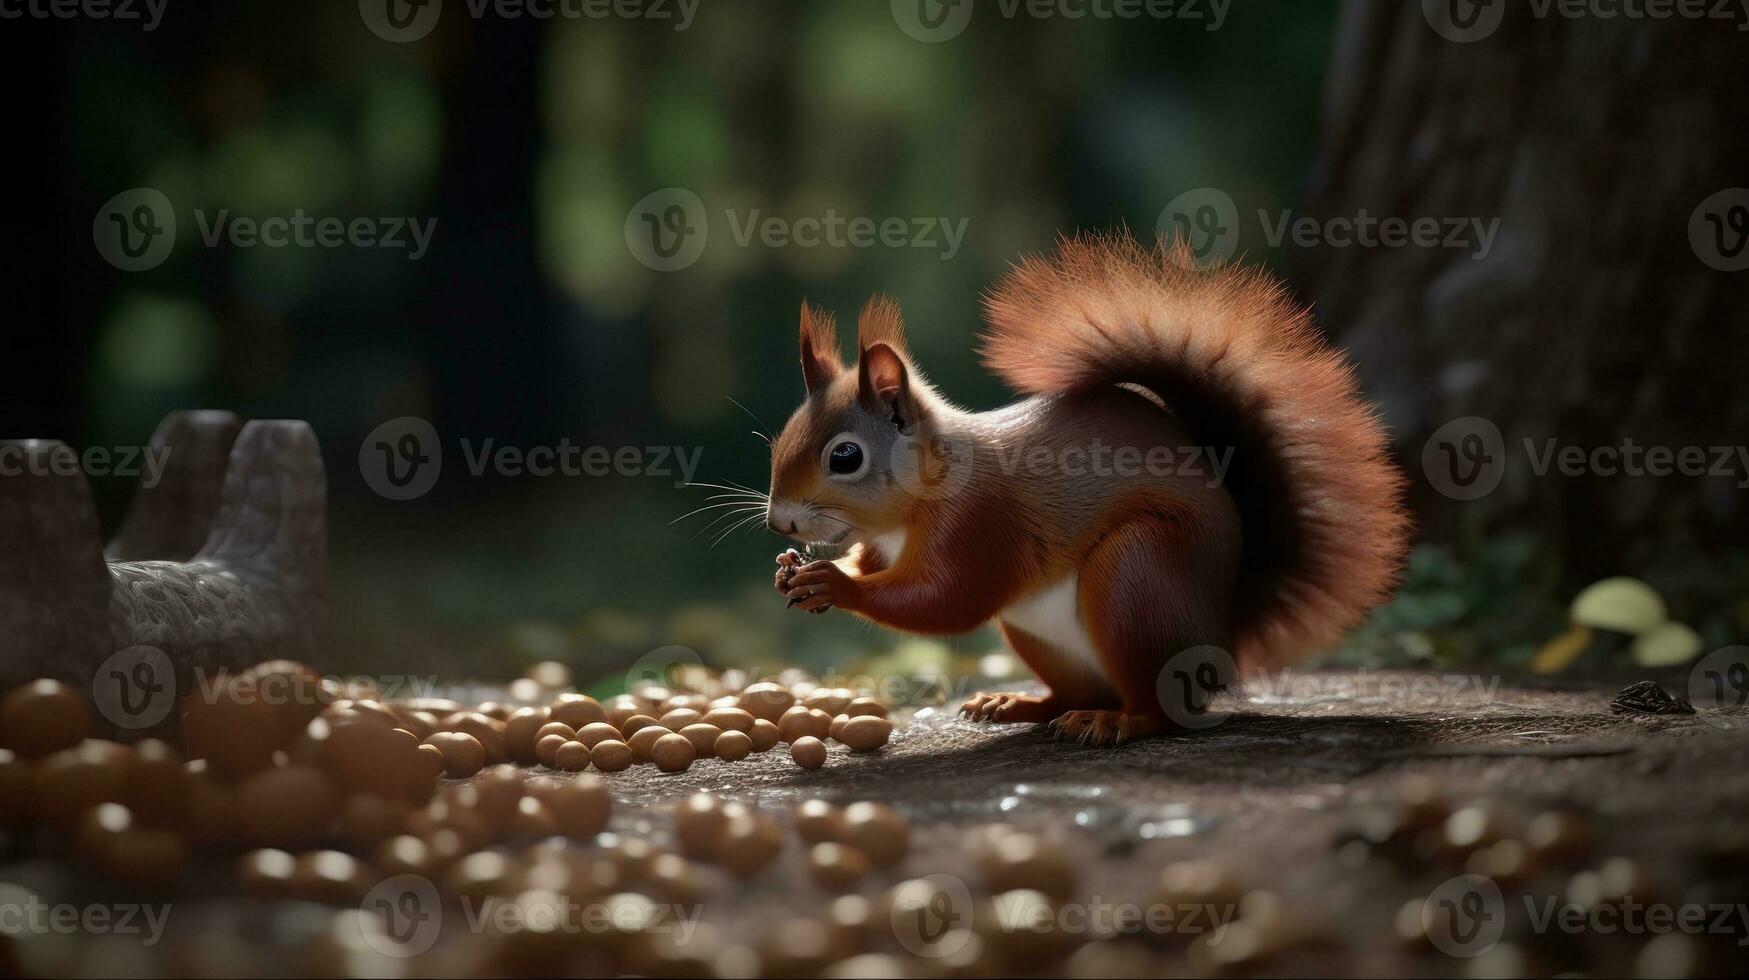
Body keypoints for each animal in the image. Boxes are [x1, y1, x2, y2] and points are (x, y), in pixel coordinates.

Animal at [766, 236, 1406, 742]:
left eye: (845, 457)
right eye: (777, 440)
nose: (778, 522)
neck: (914, 504)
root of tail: (1221, 634)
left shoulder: (979, 521)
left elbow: (951, 598)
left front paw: (836, 584)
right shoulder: (883, 544)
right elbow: (874, 563)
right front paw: (795, 570)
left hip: (1138, 572)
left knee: (1160, 706)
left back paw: (1120, 722)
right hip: (1040, 633)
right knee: (1079, 692)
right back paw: (1020, 703)